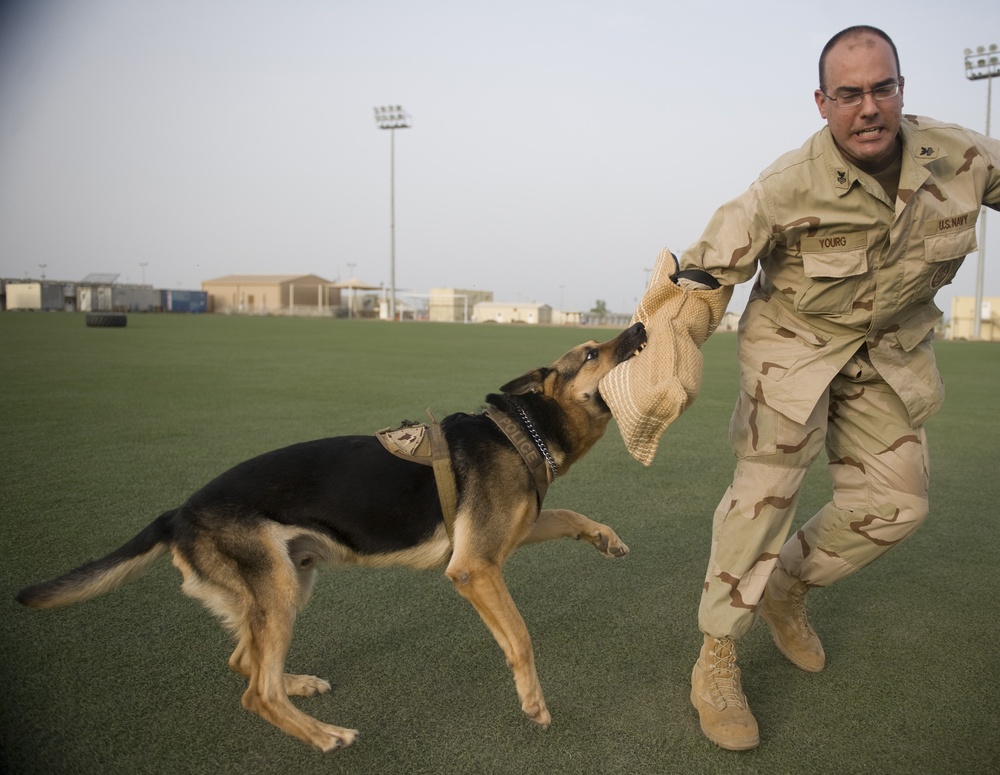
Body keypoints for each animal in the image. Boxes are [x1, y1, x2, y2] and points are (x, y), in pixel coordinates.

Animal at [15, 322, 648, 752]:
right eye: (591, 353)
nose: (641, 328)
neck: (523, 431)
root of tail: (177, 513)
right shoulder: (475, 567)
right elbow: (519, 637)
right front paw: (534, 703)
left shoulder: (504, 540)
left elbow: (569, 515)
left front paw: (607, 540)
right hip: (277, 589)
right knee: (256, 690)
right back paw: (323, 736)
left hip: (288, 584)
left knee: (244, 661)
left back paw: (298, 687)